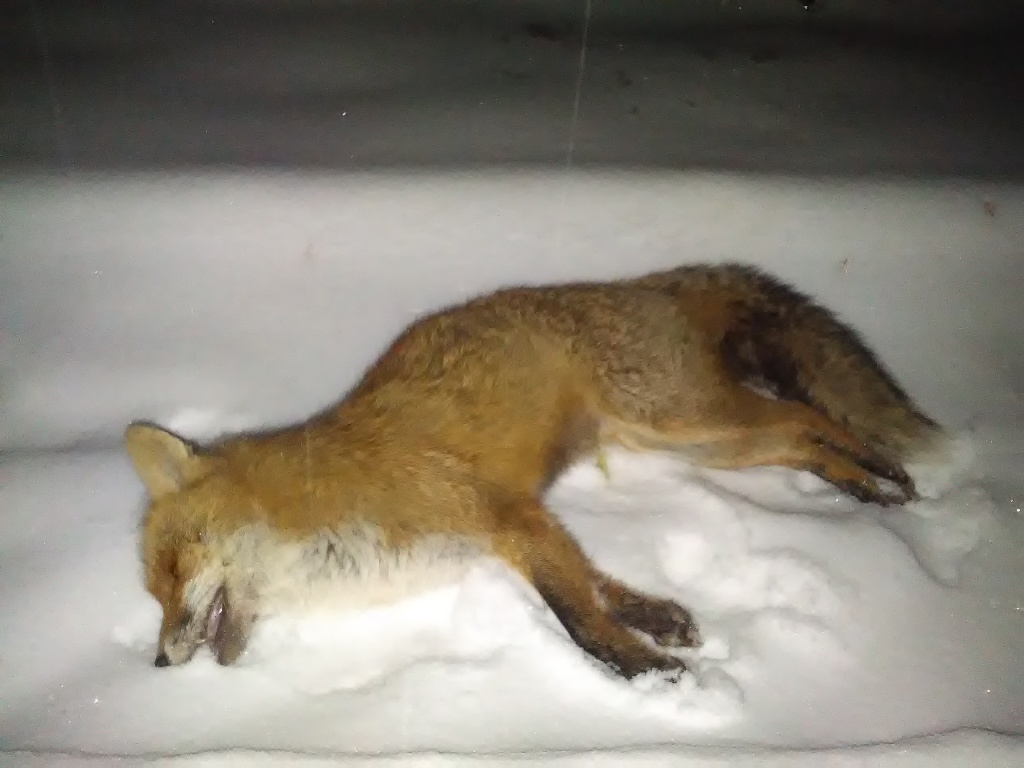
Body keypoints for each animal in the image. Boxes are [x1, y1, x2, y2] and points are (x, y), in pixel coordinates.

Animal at [126, 263, 942, 680]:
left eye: (172, 572)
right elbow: (597, 585)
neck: (315, 510)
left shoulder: (503, 515)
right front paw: (658, 623)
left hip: (693, 423)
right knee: (800, 438)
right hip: (704, 444)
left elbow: (577, 618)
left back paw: (882, 473)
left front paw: (643, 671)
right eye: (153, 591)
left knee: (810, 416)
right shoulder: (524, 523)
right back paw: (863, 486)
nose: (159, 663)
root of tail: (648, 282)